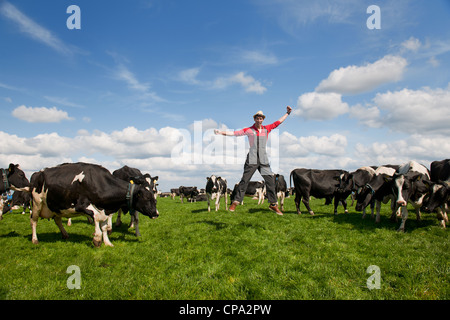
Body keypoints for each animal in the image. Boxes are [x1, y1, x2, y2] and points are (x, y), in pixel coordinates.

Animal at [30, 162, 160, 248]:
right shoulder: (82, 205)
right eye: (147, 198)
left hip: (56, 207)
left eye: (154, 192)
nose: (156, 213)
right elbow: (97, 218)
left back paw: (65, 234)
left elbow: (104, 226)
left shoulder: (105, 209)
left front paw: (107, 242)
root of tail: (38, 173)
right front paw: (97, 239)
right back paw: (35, 239)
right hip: (37, 204)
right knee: (33, 221)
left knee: (57, 220)